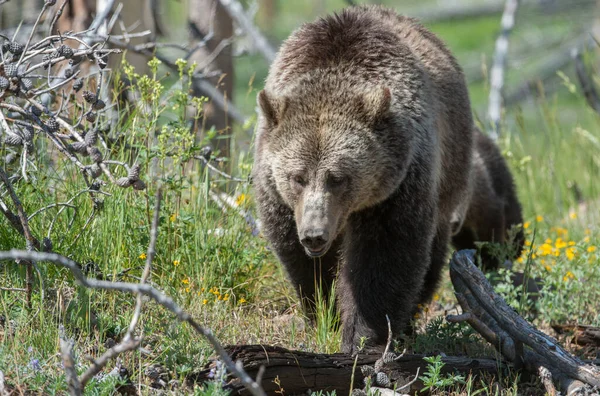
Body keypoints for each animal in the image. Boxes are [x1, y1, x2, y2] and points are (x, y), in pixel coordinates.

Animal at [252, 6, 474, 352]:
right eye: (297, 177)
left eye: (338, 177)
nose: (314, 235)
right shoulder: (277, 194)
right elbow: (301, 259)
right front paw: (325, 314)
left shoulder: (398, 183)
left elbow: (384, 255)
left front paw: (364, 335)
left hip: (451, 164)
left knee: (433, 248)